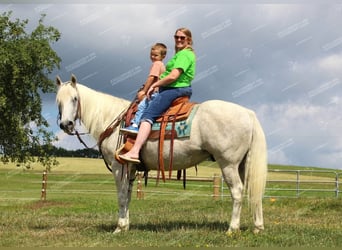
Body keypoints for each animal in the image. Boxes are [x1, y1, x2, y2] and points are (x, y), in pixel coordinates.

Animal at [56, 74, 268, 234]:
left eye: (75, 99)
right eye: (58, 101)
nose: (66, 124)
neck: (113, 121)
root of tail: (248, 114)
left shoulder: (119, 167)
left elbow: (121, 196)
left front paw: (119, 227)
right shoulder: (130, 169)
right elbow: (128, 196)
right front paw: (126, 226)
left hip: (228, 164)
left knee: (237, 192)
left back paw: (232, 229)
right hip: (242, 165)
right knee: (252, 191)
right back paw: (257, 227)